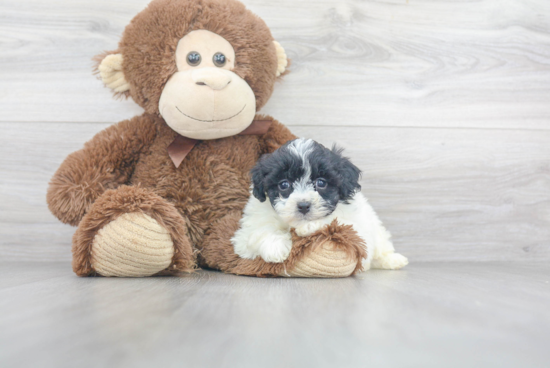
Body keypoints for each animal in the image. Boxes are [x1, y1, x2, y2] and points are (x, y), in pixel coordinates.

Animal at [233, 138, 410, 270]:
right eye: (284, 184)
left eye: (321, 182)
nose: (303, 205)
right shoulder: (247, 230)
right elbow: (259, 231)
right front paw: (275, 248)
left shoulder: (356, 227)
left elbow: (336, 223)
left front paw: (308, 226)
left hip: (376, 230)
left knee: (382, 246)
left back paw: (393, 260)